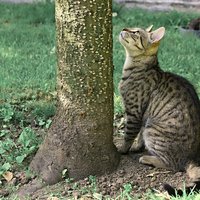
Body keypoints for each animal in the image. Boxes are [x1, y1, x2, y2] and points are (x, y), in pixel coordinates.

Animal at [118, 24, 200, 189]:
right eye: (131, 28)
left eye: (136, 32)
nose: (124, 28)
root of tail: (191, 158)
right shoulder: (143, 117)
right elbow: (139, 135)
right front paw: (137, 147)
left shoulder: (134, 112)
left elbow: (129, 134)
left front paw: (123, 149)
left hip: (152, 130)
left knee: (173, 166)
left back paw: (148, 159)